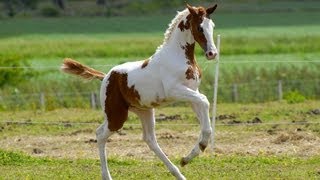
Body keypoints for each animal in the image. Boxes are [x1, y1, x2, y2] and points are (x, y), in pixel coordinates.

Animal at [60, 3, 218, 179]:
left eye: (212, 25)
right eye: (199, 27)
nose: (212, 53)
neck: (178, 56)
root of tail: (106, 76)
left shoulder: (192, 92)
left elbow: (205, 114)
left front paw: (187, 158)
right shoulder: (175, 91)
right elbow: (204, 100)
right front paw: (201, 146)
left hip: (144, 111)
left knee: (149, 139)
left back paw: (178, 173)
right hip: (116, 115)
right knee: (100, 134)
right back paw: (107, 175)